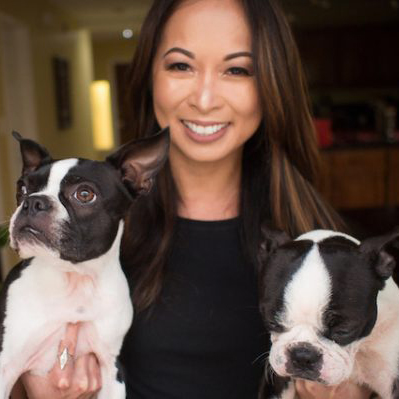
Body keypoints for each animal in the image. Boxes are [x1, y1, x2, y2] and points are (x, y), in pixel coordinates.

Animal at [0, 130, 169, 398]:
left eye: (85, 194)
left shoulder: (113, 369)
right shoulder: (5, 365)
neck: (73, 278)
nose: (33, 202)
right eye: (23, 188)